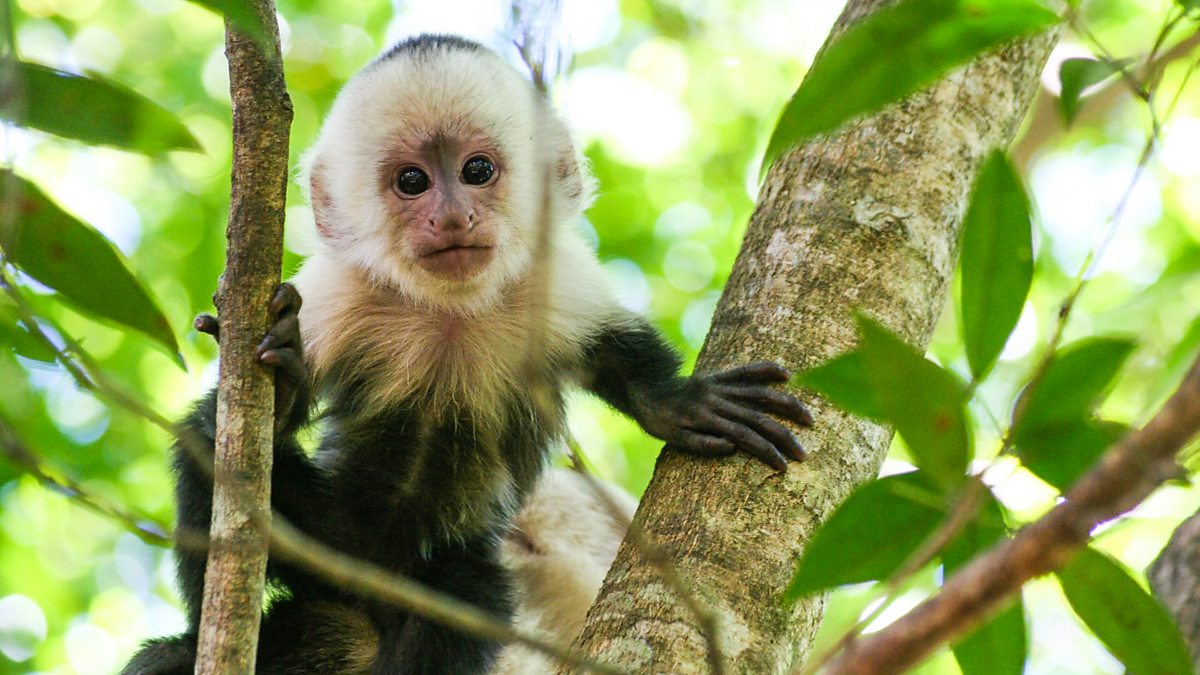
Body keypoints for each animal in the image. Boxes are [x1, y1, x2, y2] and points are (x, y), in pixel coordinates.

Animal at [122, 34, 812, 674]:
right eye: (412, 181)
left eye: (477, 171)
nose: (452, 218)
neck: (449, 313)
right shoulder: (338, 291)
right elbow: (246, 418)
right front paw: (284, 386)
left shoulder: (554, 282)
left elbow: (616, 355)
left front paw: (683, 404)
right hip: (334, 541)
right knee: (209, 445)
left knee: (465, 595)